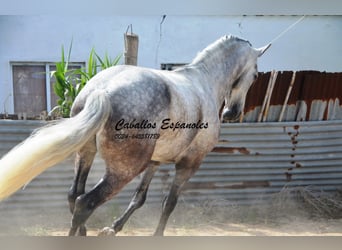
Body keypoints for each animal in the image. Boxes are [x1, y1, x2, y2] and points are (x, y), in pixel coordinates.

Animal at [0, 34, 270, 235]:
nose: (232, 112)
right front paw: (157, 236)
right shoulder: (189, 164)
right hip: (124, 170)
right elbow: (169, 203)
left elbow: (139, 198)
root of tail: (103, 90)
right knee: (85, 203)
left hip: (85, 155)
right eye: (256, 74)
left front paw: (113, 229)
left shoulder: (155, 162)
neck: (204, 82)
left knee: (73, 195)